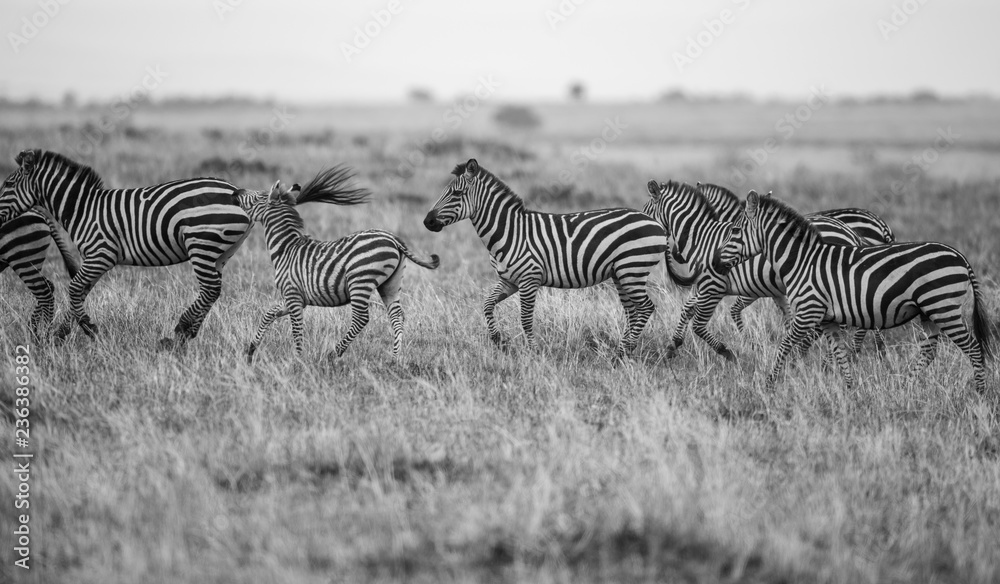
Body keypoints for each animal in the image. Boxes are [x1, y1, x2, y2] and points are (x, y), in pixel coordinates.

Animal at [0, 149, 252, 347]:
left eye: (8, 184)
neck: (83, 209)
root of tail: (237, 190)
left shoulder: (100, 255)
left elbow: (74, 289)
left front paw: (88, 329)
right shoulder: (94, 259)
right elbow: (79, 293)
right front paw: (61, 334)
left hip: (201, 244)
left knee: (210, 289)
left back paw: (180, 330)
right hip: (221, 252)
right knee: (213, 291)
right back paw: (188, 333)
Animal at [238, 167, 440, 362]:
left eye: (256, 197)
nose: (237, 192)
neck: (286, 249)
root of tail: (393, 239)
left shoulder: (293, 295)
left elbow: (296, 331)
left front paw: (298, 360)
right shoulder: (293, 298)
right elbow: (268, 314)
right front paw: (251, 350)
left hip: (360, 280)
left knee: (361, 319)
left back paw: (333, 354)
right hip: (391, 283)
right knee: (397, 316)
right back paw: (394, 359)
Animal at [422, 158, 668, 357]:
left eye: (456, 194)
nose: (427, 222)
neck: (511, 232)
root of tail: (655, 223)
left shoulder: (529, 279)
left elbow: (525, 319)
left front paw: (533, 352)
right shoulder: (509, 281)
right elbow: (487, 305)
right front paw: (499, 340)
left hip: (632, 269)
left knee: (646, 308)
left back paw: (623, 353)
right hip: (621, 273)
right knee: (632, 311)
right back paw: (623, 351)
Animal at [738, 190, 992, 392]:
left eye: (734, 229)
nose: (725, 262)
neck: (802, 260)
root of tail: (960, 257)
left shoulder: (808, 309)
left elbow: (783, 343)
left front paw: (770, 380)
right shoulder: (822, 313)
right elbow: (832, 349)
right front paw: (847, 387)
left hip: (942, 308)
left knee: (973, 348)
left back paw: (979, 392)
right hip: (928, 312)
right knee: (929, 350)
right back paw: (904, 385)